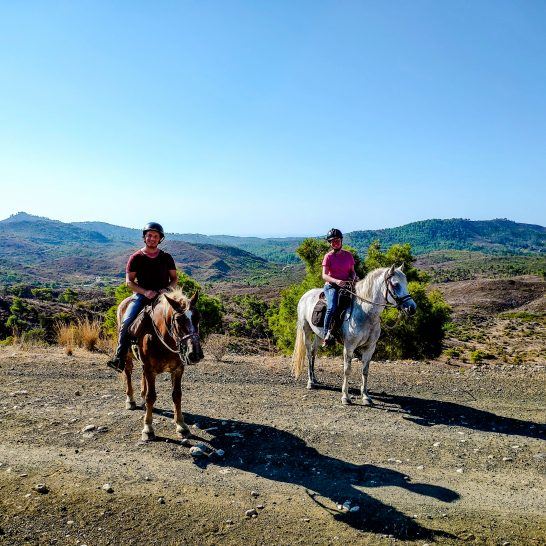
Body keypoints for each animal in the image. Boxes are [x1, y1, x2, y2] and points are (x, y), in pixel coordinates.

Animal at [117, 286, 204, 440]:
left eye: (197, 317)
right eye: (178, 320)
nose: (195, 354)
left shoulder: (178, 369)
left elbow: (177, 395)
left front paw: (181, 426)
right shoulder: (150, 369)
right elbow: (151, 397)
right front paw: (148, 428)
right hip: (128, 357)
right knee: (128, 373)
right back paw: (130, 401)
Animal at [292, 264, 414, 404]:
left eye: (406, 283)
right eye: (395, 284)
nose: (412, 308)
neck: (366, 313)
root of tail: (305, 295)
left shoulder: (370, 348)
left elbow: (365, 371)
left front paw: (366, 396)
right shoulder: (349, 346)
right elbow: (347, 370)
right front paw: (345, 397)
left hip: (318, 335)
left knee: (313, 352)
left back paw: (314, 378)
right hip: (306, 330)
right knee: (308, 353)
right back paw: (310, 382)